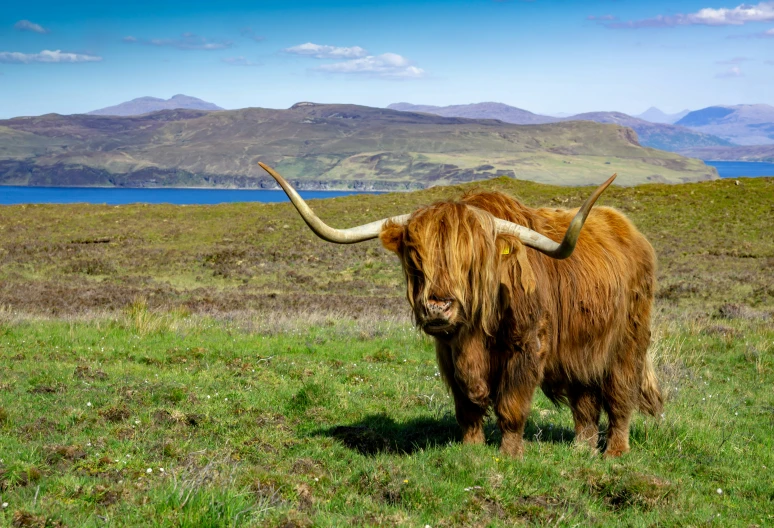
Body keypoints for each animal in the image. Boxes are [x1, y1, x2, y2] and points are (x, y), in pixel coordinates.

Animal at [260, 163, 660, 460]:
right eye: (415, 256)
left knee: (620, 395)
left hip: (629, 342)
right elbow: (467, 404)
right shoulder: (448, 352)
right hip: (582, 350)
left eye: (470, 260)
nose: (437, 305)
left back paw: (614, 452)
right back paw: (581, 449)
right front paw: (471, 450)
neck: (477, 330)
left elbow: (512, 406)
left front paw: (509, 455)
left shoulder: (527, 347)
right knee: (585, 400)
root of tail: (632, 233)